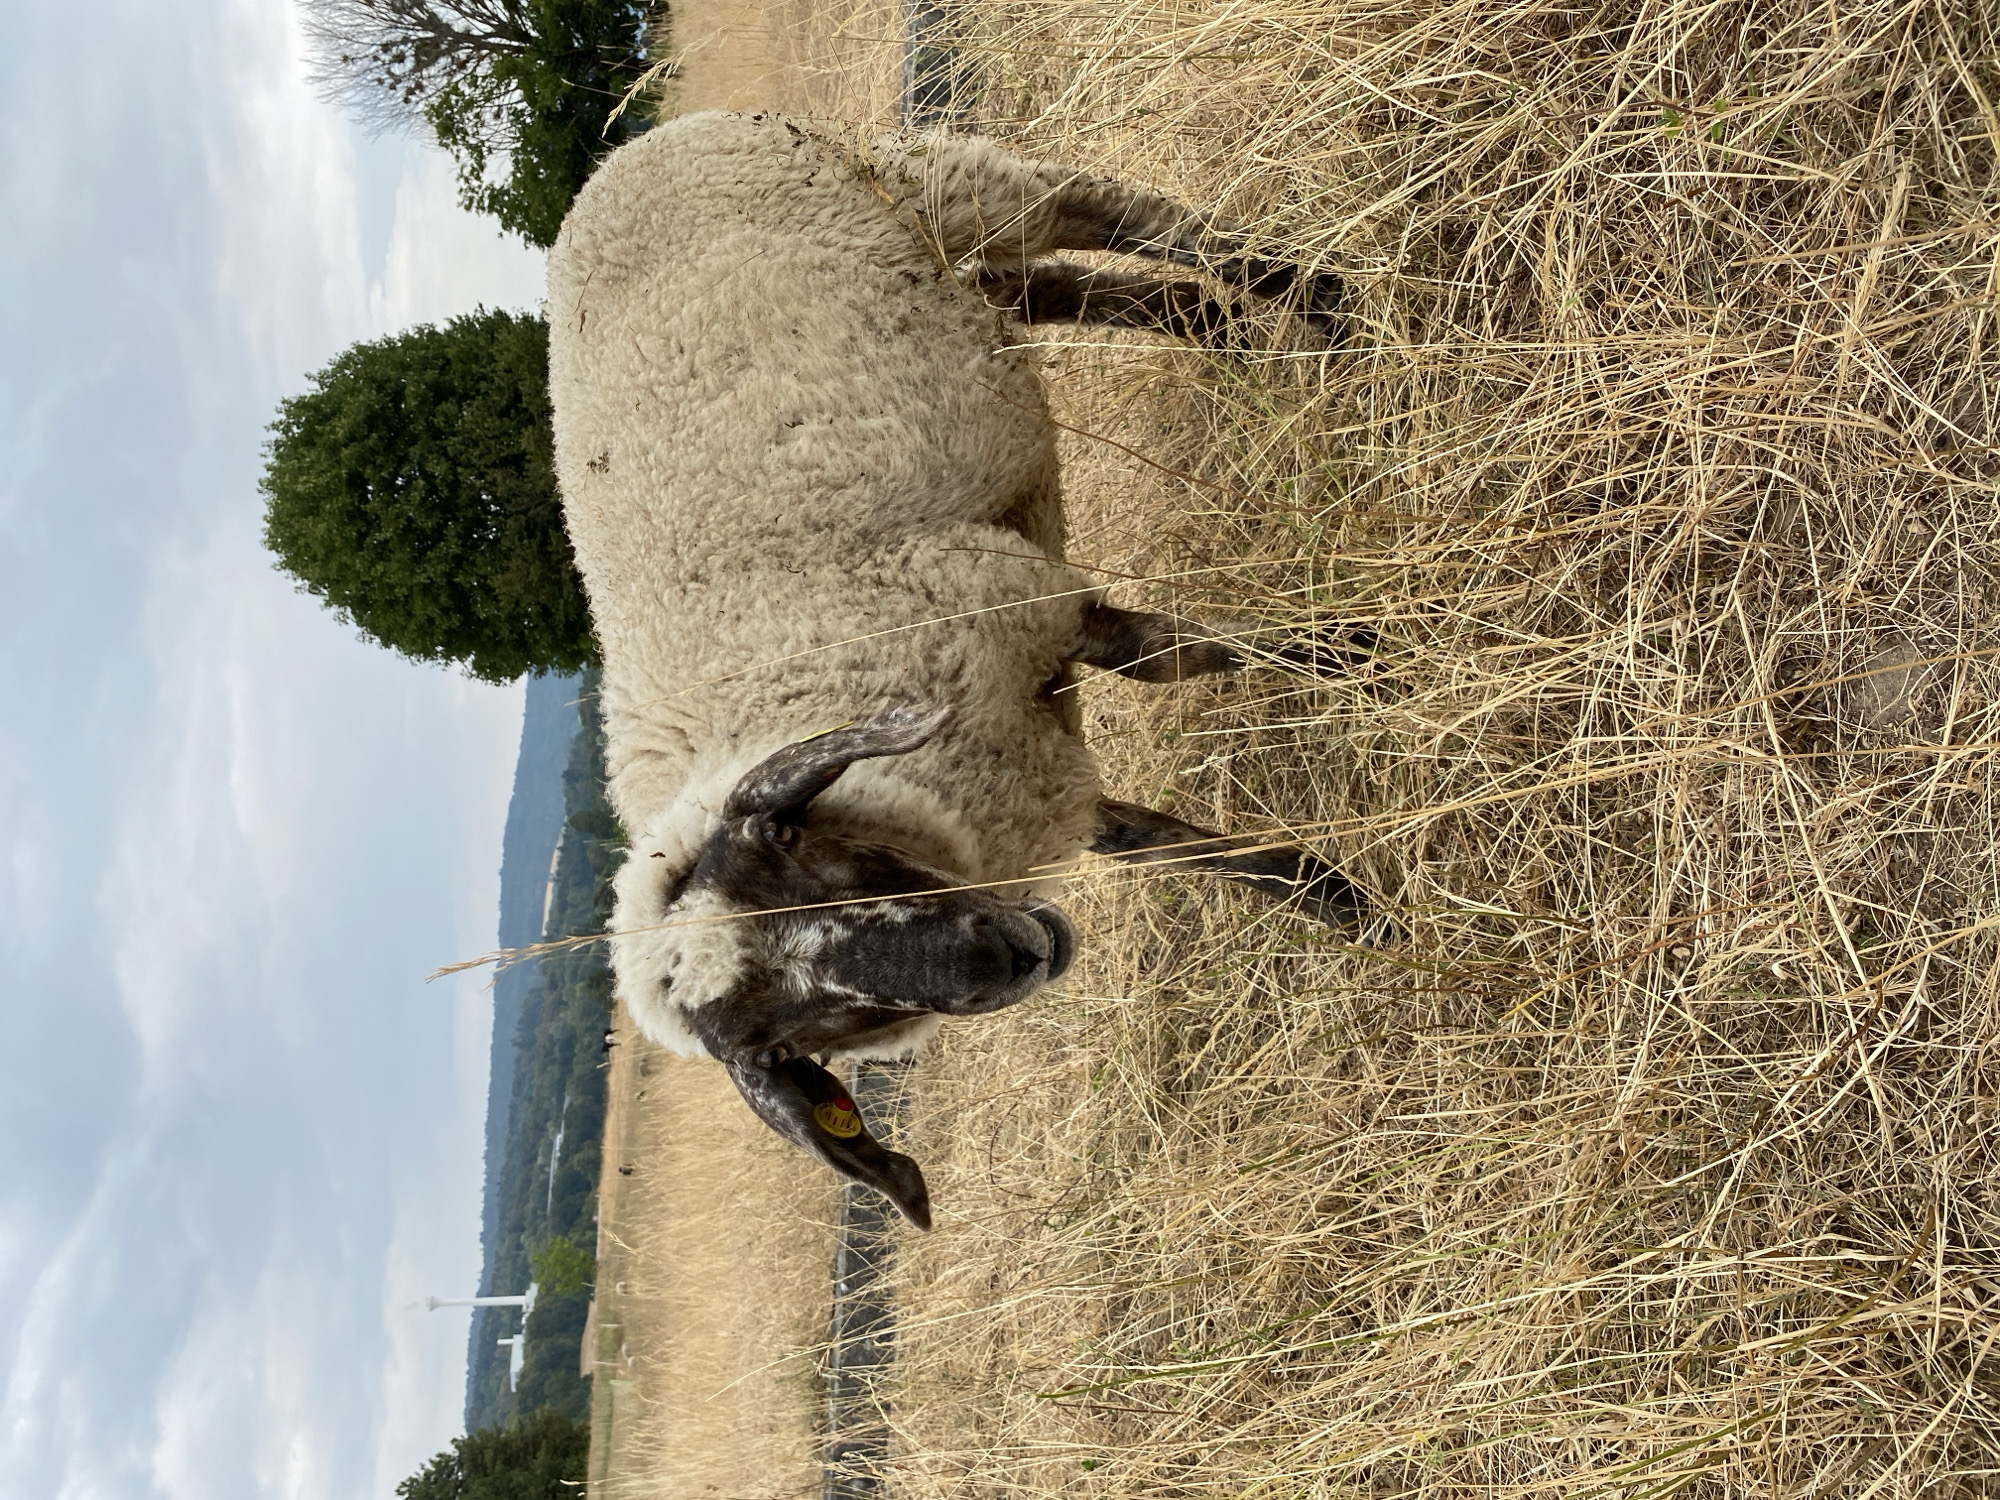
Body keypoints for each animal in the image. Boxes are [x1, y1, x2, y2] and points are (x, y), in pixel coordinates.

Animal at [547, 110, 1373, 1229]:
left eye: (792, 851)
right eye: (794, 1041)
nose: (1002, 959)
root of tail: (615, 162)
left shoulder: (1018, 607)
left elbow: (1171, 661)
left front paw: (1351, 658)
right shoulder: (1018, 771)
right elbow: (1161, 845)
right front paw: (1332, 900)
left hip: (939, 187)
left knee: (1108, 217)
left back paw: (1314, 295)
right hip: (946, 279)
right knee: (1050, 291)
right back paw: (1231, 329)